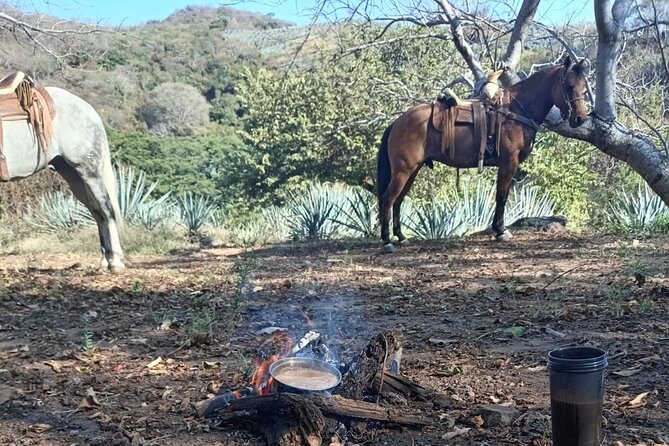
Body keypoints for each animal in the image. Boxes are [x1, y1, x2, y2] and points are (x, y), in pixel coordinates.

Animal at [0, 73, 124, 271]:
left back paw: (115, 260)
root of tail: (89, 110)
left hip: (90, 172)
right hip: (75, 177)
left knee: (106, 209)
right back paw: (105, 260)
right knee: (97, 212)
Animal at [376, 57, 589, 252]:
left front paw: (499, 229)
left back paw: (401, 236)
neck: (514, 110)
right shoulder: (508, 161)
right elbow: (502, 195)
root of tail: (398, 122)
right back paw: (387, 241)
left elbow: (502, 194)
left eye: (584, 87)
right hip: (403, 170)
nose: (580, 118)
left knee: (398, 200)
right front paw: (500, 230)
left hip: (412, 170)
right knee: (388, 199)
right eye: (569, 86)